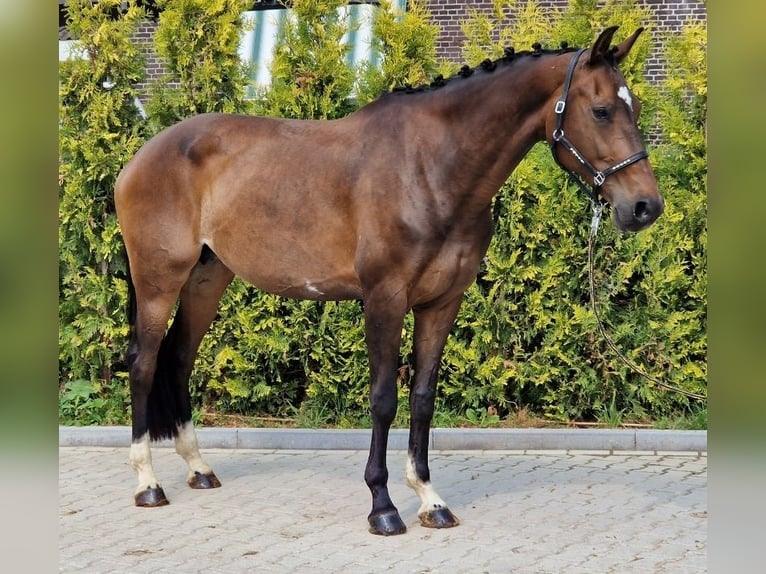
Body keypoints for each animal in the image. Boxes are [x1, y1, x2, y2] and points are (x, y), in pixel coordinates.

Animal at [114, 26, 663, 536]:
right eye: (601, 111)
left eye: (633, 108)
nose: (644, 207)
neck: (431, 168)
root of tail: (142, 156)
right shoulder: (385, 298)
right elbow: (383, 400)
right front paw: (383, 506)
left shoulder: (442, 303)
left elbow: (422, 398)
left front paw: (430, 500)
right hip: (159, 280)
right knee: (144, 364)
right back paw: (147, 484)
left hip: (207, 279)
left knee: (178, 359)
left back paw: (198, 469)